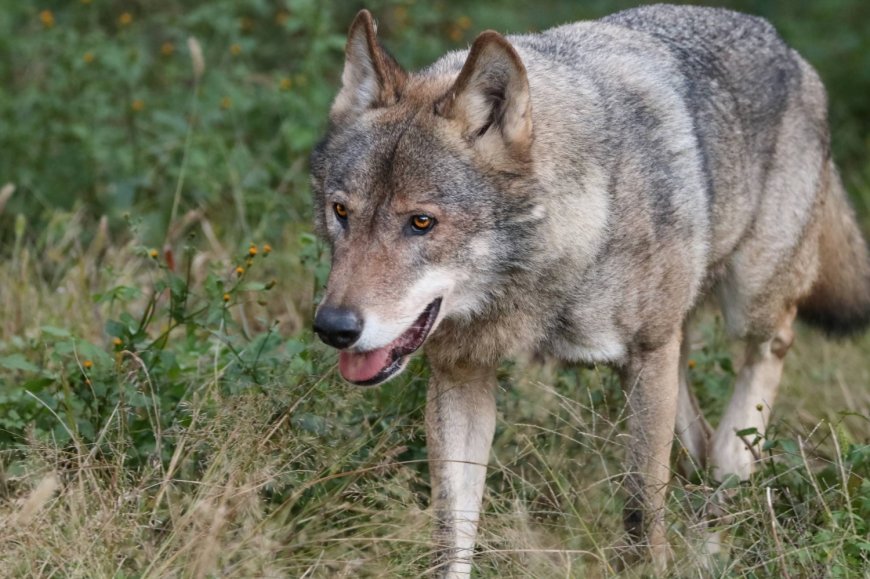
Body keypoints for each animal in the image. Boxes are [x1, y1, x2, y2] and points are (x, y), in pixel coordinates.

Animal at [310, 4, 870, 575]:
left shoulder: (648, 353)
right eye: (341, 212)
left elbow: (642, 507)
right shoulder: (461, 373)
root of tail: (787, 48)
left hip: (745, 302)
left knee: (773, 346)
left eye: (421, 222)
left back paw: (732, 465)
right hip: (673, 342)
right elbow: (451, 535)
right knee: (695, 431)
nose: (333, 328)